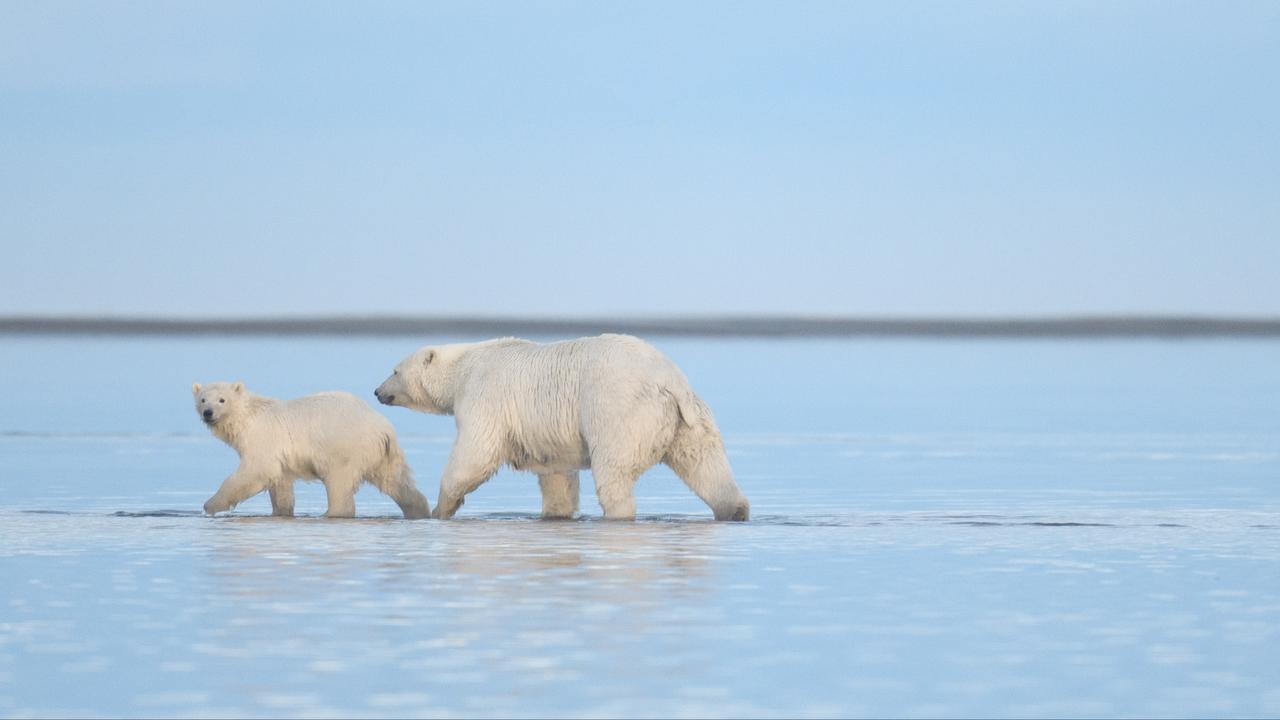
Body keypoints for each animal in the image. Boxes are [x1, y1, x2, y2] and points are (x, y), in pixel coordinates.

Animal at [371, 333, 747, 517]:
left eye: (394, 370)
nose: (377, 391)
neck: (465, 365)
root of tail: (669, 380)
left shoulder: (485, 395)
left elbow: (475, 454)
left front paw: (440, 509)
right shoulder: (544, 430)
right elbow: (556, 475)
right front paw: (556, 513)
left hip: (619, 410)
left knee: (614, 472)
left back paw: (618, 513)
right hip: (690, 421)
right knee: (706, 466)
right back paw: (735, 510)